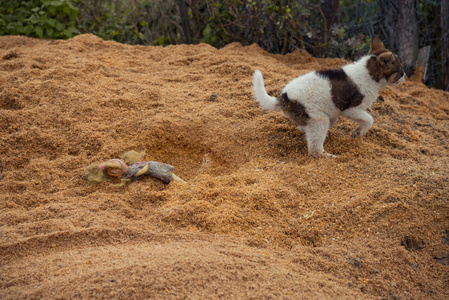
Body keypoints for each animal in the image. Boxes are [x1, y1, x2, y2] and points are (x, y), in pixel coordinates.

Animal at [252, 37, 406, 157]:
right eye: (399, 70)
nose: (405, 75)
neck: (370, 73)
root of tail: (284, 97)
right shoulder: (351, 109)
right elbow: (369, 119)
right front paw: (358, 133)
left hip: (322, 118)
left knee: (308, 132)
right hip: (320, 120)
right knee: (315, 150)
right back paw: (330, 157)